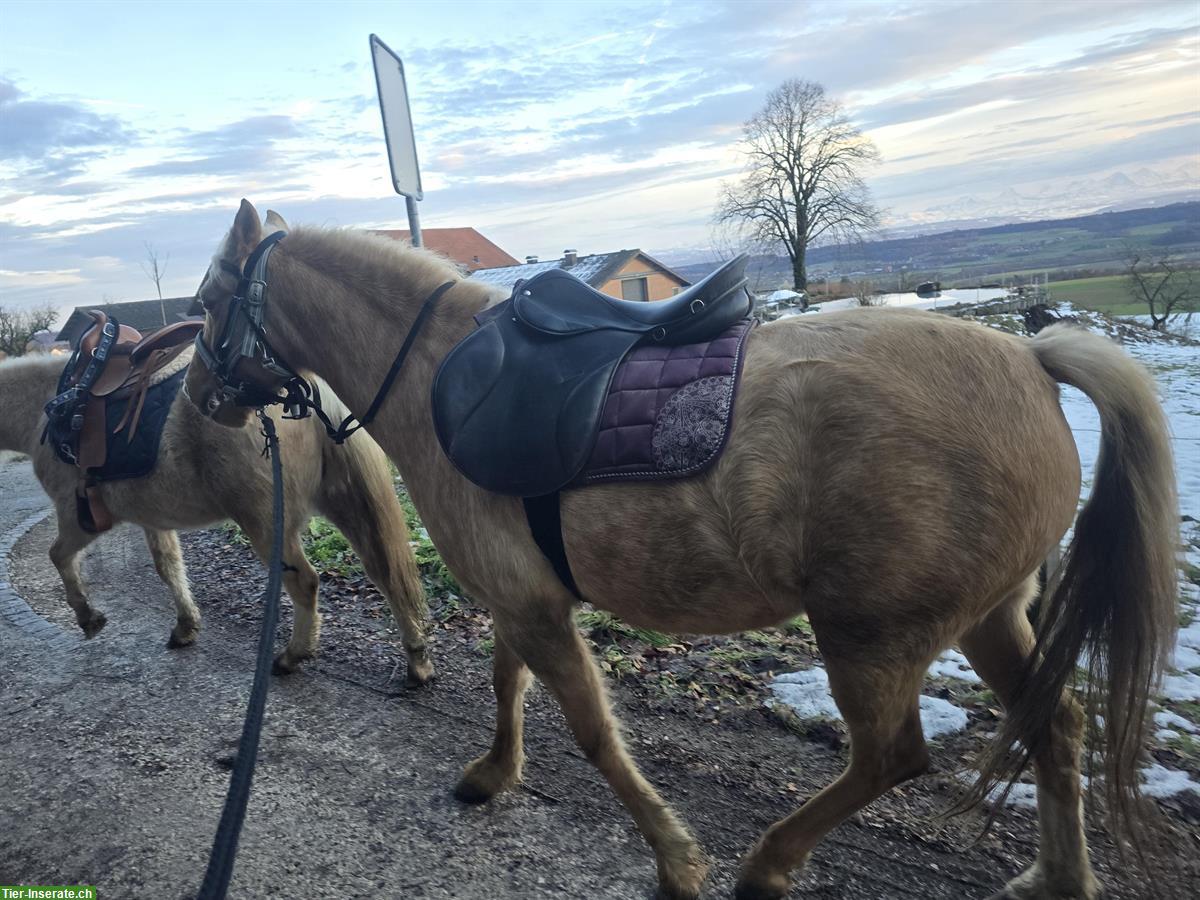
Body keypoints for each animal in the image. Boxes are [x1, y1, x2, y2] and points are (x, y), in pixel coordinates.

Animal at [0, 346, 434, 685]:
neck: (48, 410)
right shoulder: (153, 520)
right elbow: (168, 567)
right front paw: (185, 626)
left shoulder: (79, 519)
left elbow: (59, 556)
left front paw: (88, 616)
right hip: (344, 502)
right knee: (386, 573)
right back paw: (417, 661)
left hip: (266, 524)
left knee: (305, 583)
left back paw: (293, 655)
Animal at [183, 200, 1179, 900]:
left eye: (206, 305)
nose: (196, 397)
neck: (441, 376)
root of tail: (1033, 360)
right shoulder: (522, 598)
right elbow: (508, 684)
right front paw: (495, 774)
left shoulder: (535, 608)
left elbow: (591, 732)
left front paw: (676, 858)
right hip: (991, 617)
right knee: (1055, 726)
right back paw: (1059, 876)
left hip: (872, 636)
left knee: (892, 758)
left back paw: (768, 862)